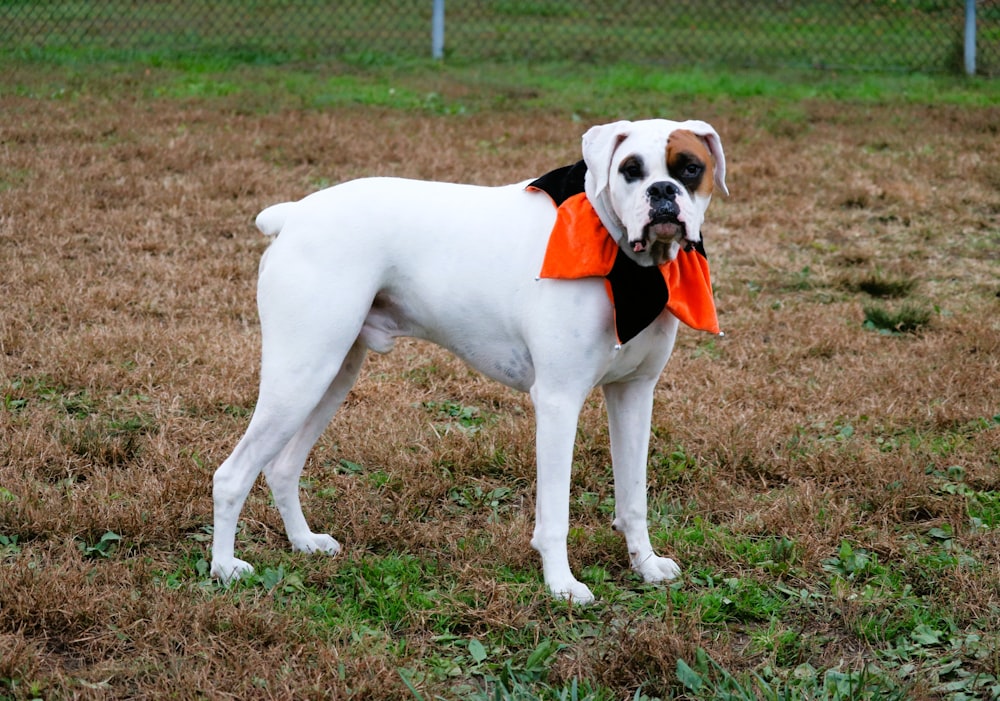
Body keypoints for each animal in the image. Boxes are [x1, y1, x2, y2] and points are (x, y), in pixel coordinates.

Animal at [211, 116, 728, 600]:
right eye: (630, 170)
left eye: (690, 168)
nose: (663, 192)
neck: (620, 259)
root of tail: (296, 213)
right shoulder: (558, 404)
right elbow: (555, 514)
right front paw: (561, 585)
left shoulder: (634, 396)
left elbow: (633, 498)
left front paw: (646, 565)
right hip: (300, 378)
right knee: (232, 475)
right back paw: (224, 568)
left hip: (332, 375)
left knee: (281, 467)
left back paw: (303, 542)